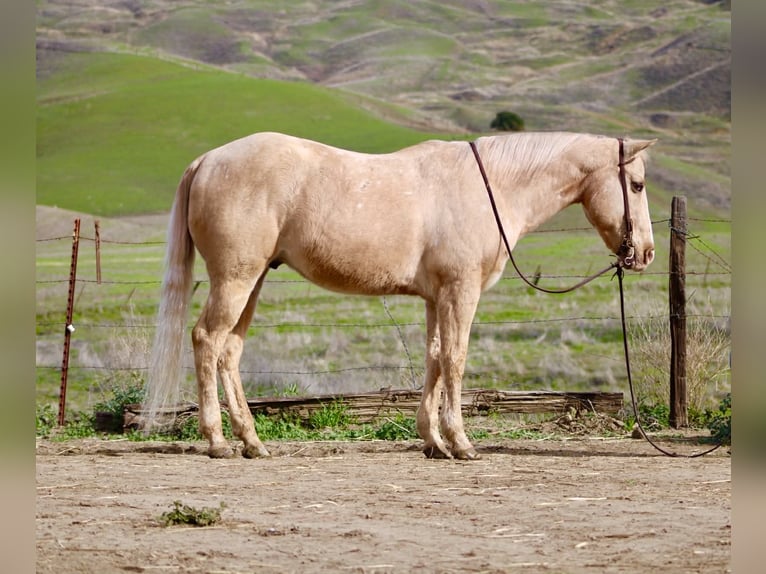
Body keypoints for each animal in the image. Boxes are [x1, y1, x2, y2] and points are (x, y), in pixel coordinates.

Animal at [143, 131, 656, 460]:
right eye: (637, 184)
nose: (646, 254)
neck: (491, 186)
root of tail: (207, 160)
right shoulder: (460, 292)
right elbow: (455, 359)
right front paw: (461, 443)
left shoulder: (436, 297)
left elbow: (434, 359)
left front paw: (433, 441)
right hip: (235, 279)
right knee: (207, 340)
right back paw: (218, 442)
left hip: (253, 281)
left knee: (229, 350)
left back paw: (252, 443)